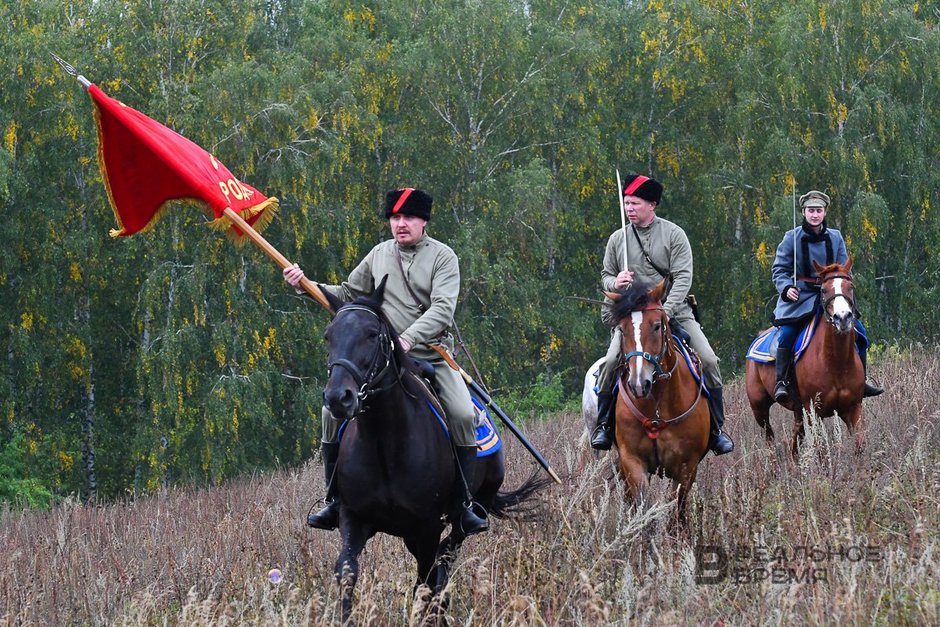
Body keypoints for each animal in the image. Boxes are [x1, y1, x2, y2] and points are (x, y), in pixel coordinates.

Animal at [320, 280, 548, 624]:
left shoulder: (426, 528)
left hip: (470, 511)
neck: (383, 442)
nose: (338, 398)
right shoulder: (353, 518)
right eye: (329, 335)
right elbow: (347, 573)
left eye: (372, 334)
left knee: (445, 559)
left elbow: (426, 581)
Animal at [604, 282, 708, 524]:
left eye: (657, 326)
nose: (638, 384)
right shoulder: (632, 462)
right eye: (622, 329)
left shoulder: (686, 467)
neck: (657, 406)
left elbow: (674, 512)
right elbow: (643, 508)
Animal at [744, 258, 864, 456]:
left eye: (851, 286)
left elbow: (859, 447)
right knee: (770, 440)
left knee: (793, 445)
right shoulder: (815, 412)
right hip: (760, 409)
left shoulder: (853, 408)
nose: (843, 318)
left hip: (798, 412)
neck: (836, 363)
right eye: (824, 290)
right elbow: (822, 452)